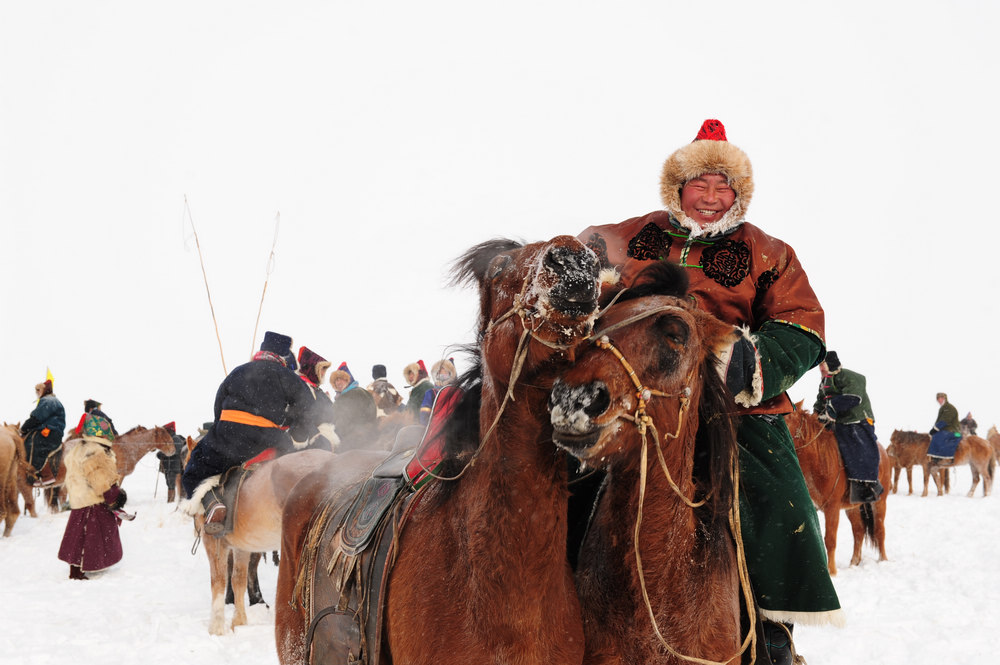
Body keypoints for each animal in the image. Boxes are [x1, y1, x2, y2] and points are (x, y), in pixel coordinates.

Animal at [784, 402, 888, 572]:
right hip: (853, 507)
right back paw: (853, 563)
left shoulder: (832, 508)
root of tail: (884, 452)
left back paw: (883, 560)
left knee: (880, 530)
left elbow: (830, 540)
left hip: (879, 502)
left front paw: (831, 571)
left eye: (788, 416)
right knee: (858, 531)